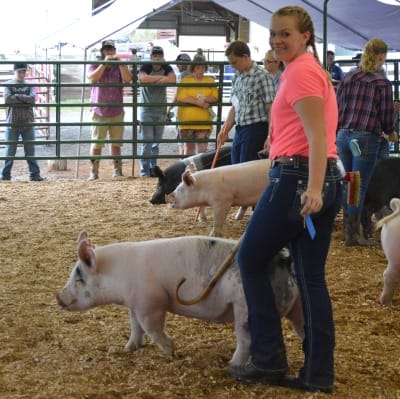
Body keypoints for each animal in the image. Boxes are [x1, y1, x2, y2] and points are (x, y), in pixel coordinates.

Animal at [56, 233, 304, 368]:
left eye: (78, 277)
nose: (58, 297)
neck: (118, 276)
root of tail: (284, 260)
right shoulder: (135, 304)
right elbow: (135, 326)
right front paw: (128, 348)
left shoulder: (151, 302)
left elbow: (152, 328)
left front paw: (171, 351)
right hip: (297, 306)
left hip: (243, 308)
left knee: (246, 340)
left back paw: (231, 366)